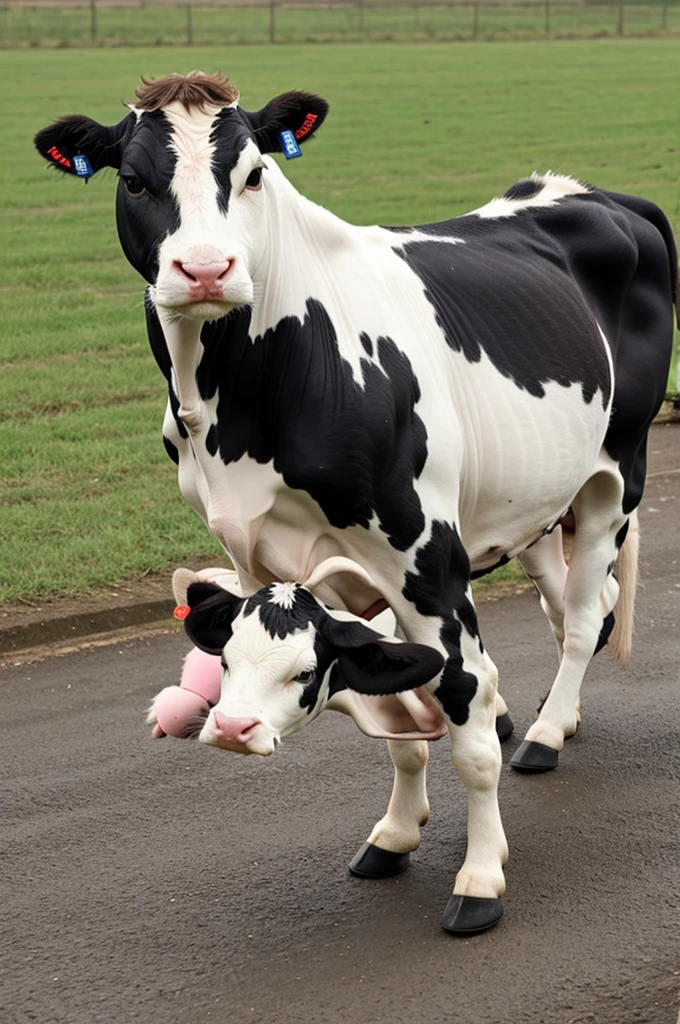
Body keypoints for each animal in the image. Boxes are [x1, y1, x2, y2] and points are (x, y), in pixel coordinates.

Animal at [33, 70, 680, 937]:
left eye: (254, 174)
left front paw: (480, 877)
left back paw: (543, 733)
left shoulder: (426, 560)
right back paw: (554, 715)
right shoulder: (278, 559)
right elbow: (397, 712)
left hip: (617, 472)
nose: (205, 269)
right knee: (579, 602)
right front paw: (397, 834)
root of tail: (593, 192)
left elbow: (463, 713)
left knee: (581, 618)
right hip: (533, 499)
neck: (238, 398)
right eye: (133, 180)